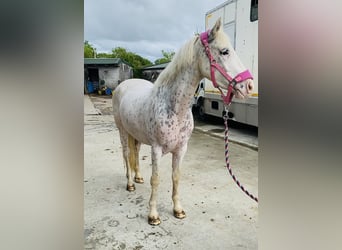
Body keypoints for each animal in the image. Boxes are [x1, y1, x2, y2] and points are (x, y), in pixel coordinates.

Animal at [112, 17, 254, 225]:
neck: (174, 107)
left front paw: (178, 210)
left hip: (135, 133)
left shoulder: (181, 149)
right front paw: (153, 215)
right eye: (224, 51)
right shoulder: (156, 149)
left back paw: (138, 178)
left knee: (135, 152)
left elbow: (176, 178)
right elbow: (156, 179)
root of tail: (123, 85)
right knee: (126, 154)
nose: (249, 85)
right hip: (122, 131)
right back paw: (130, 183)